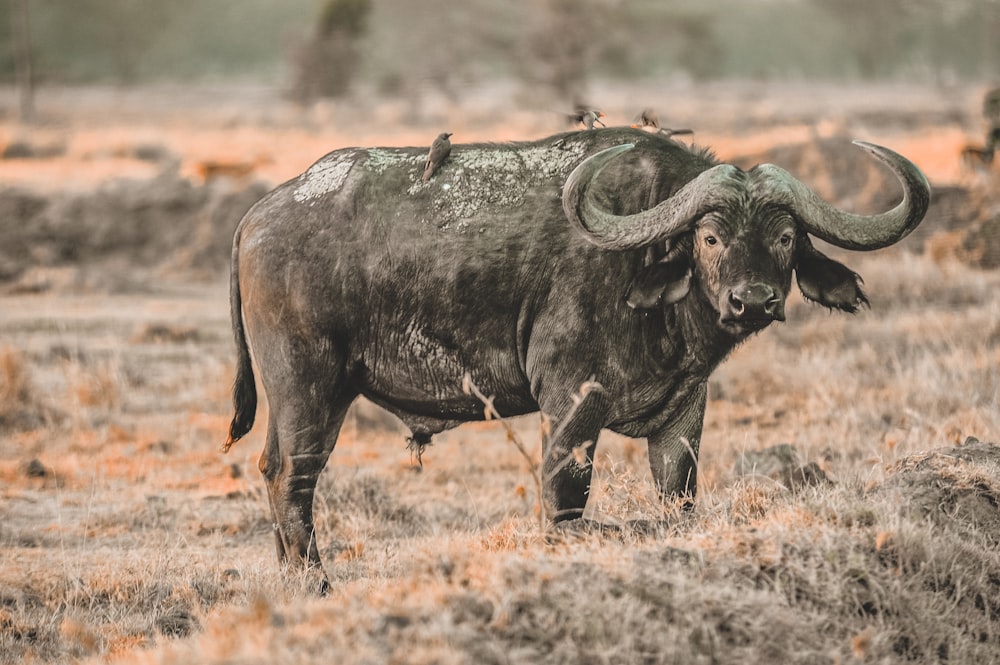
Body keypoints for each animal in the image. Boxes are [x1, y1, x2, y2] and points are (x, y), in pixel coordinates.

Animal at [225, 127, 928, 588]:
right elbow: (565, 499)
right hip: (310, 389)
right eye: (709, 236)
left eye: (785, 238)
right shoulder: (570, 404)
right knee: (292, 479)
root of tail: (260, 214)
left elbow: (679, 499)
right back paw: (316, 584)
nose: (751, 300)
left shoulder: (684, 412)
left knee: (269, 469)